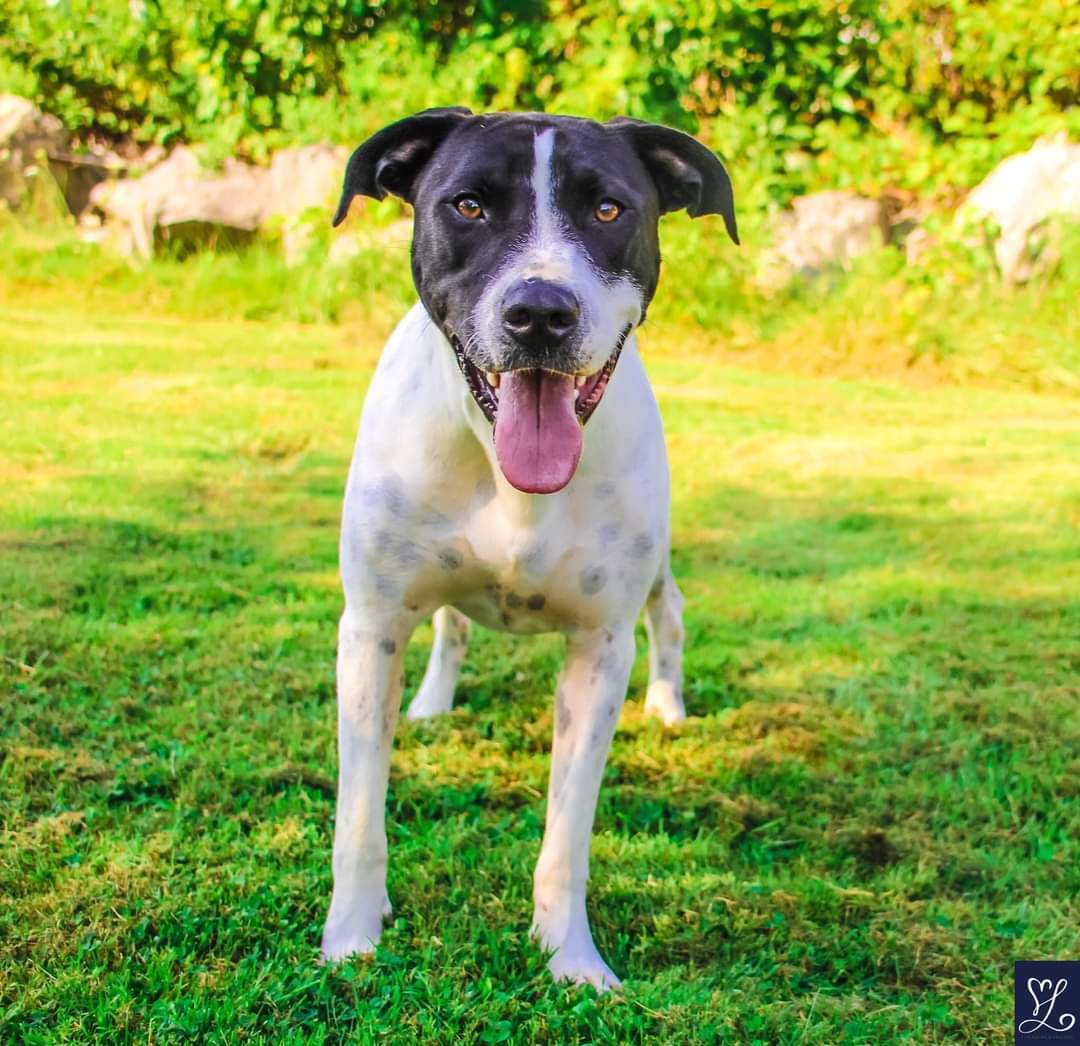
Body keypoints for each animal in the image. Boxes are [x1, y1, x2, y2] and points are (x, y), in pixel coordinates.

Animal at [319, 107, 738, 988]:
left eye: (609, 209)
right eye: (469, 205)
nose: (540, 313)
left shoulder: (599, 648)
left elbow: (566, 837)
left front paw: (570, 957)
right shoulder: (369, 630)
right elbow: (359, 819)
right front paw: (351, 941)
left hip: (655, 573)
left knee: (671, 615)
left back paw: (669, 704)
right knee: (452, 626)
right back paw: (433, 702)